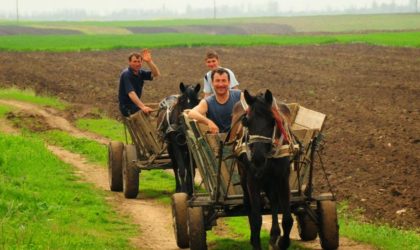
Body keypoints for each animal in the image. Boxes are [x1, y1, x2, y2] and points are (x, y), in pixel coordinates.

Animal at [230, 90, 292, 250]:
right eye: (246, 121)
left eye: (273, 120)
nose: (257, 158)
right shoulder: (253, 179)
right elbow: (256, 218)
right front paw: (256, 242)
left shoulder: (283, 178)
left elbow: (287, 218)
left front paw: (282, 242)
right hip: (244, 178)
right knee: (248, 205)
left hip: (271, 180)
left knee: (274, 200)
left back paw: (274, 234)